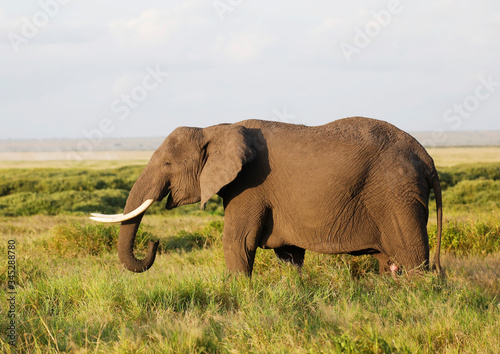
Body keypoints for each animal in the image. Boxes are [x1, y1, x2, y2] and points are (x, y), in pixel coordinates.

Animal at [90, 117, 442, 276]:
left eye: (166, 164)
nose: (155, 242)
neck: (215, 128)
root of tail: (427, 158)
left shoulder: (249, 186)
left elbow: (237, 242)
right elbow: (290, 255)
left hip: (397, 195)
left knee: (412, 260)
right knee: (389, 263)